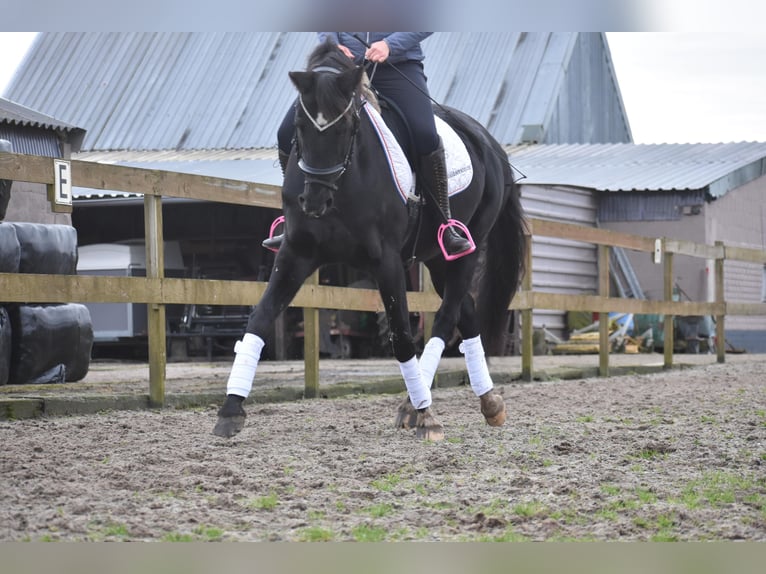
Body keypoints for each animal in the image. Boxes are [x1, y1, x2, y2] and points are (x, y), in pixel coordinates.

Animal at [216, 42, 528, 444]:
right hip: (435, 258)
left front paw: (427, 415)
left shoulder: (388, 262)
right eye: (298, 128)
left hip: (465, 251)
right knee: (467, 312)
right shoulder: (295, 253)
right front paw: (230, 410)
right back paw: (489, 402)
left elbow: (402, 337)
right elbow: (260, 317)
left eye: (349, 126)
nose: (314, 201)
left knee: (446, 319)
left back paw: (415, 406)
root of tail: (488, 142)